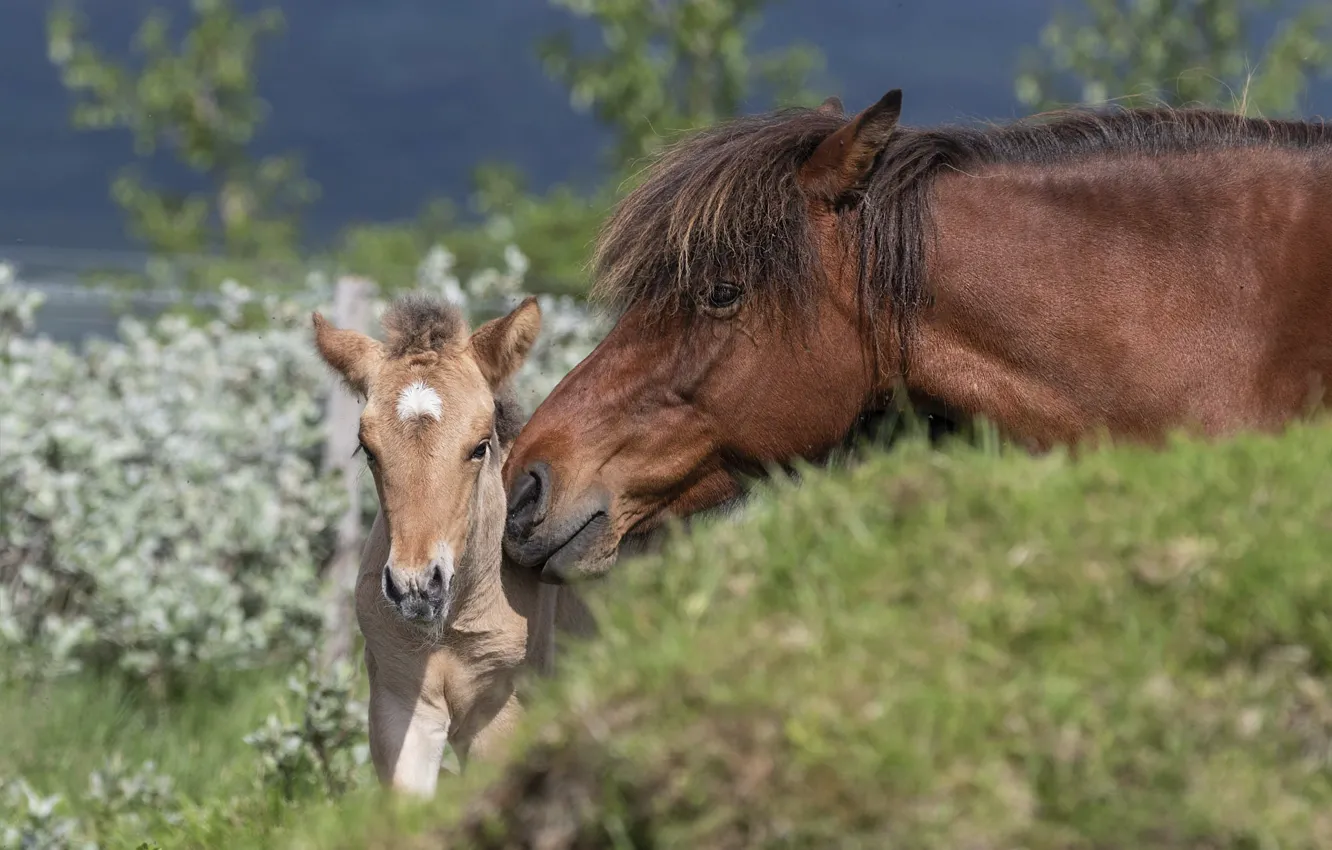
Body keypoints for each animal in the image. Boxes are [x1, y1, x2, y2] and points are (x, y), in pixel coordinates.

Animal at [312, 293, 596, 797]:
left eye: (480, 446)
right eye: (368, 450)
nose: (416, 586)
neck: (450, 629)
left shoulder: (502, 716)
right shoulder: (399, 705)